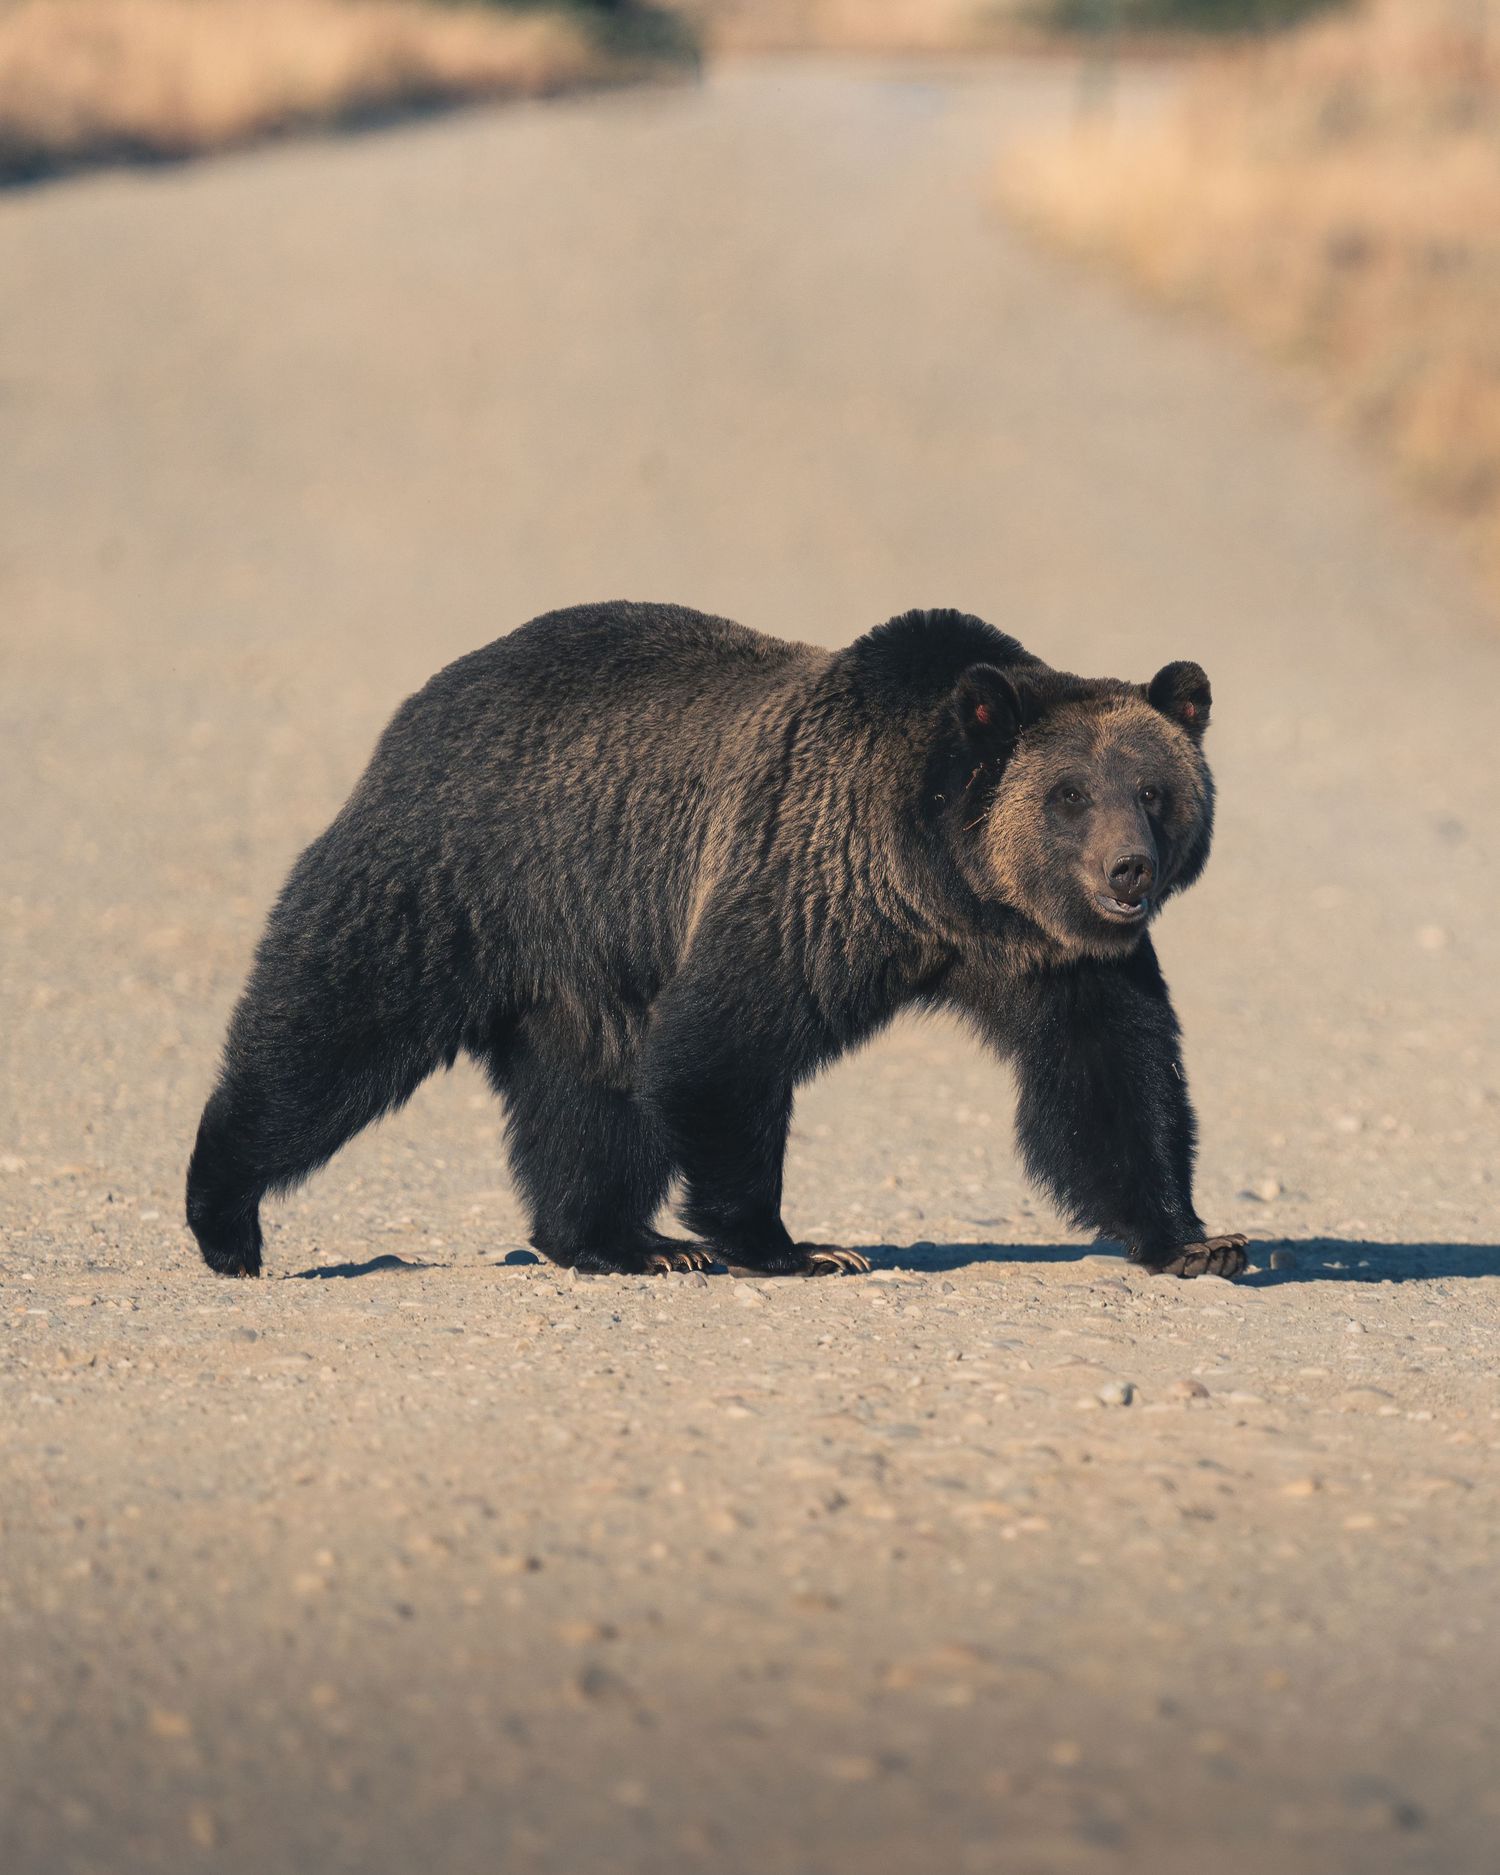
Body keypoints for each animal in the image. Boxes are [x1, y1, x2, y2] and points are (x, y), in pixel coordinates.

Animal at [186, 601, 1247, 1282]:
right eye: (1069, 794)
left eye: (1153, 789)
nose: (1128, 871)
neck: (946, 891)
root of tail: (424, 700)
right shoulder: (805, 881)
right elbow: (722, 1045)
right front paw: (796, 1245)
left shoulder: (1053, 958)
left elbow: (1112, 1080)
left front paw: (1197, 1240)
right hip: (463, 874)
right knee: (332, 1027)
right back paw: (227, 1217)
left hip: (586, 964)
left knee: (587, 1095)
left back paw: (625, 1241)